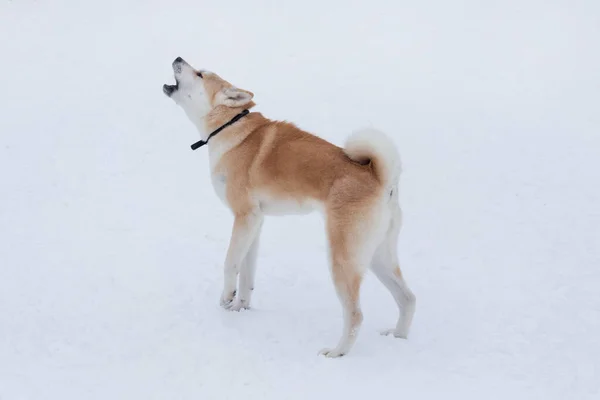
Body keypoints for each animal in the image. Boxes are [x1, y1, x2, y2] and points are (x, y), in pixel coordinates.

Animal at [164, 55, 418, 356]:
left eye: (201, 74)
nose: (178, 57)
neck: (229, 128)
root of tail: (381, 178)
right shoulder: (255, 223)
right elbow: (246, 272)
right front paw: (240, 307)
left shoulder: (244, 216)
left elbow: (229, 263)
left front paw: (226, 298)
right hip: (378, 256)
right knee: (408, 298)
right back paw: (398, 337)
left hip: (344, 257)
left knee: (356, 315)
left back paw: (337, 353)